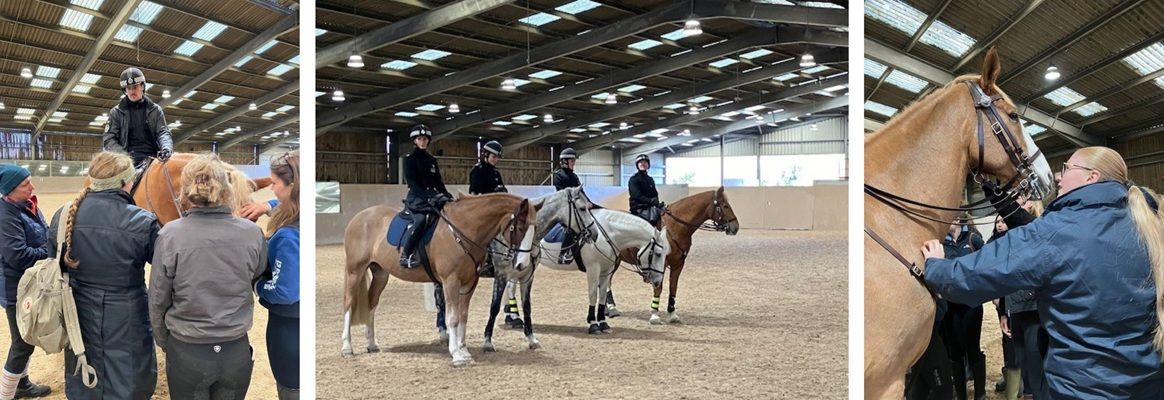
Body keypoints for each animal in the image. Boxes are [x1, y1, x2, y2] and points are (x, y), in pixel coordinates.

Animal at [337, 193, 535, 365]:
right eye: (520, 228)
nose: (523, 265)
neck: (463, 230)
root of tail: (360, 217)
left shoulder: (469, 284)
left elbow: (463, 316)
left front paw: (464, 351)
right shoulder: (450, 282)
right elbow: (452, 318)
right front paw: (456, 355)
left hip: (380, 274)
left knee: (372, 304)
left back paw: (371, 344)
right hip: (355, 271)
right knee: (349, 303)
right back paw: (347, 347)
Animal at [537, 209, 670, 334]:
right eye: (658, 254)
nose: (658, 281)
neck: (606, 234)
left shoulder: (606, 271)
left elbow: (602, 295)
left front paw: (603, 324)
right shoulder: (593, 269)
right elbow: (593, 295)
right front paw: (593, 324)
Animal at [609, 187, 735, 325]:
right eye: (725, 206)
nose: (736, 227)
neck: (675, 227)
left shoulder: (678, 264)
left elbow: (673, 287)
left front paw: (672, 314)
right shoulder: (660, 264)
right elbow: (659, 287)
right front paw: (654, 315)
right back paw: (611, 308)